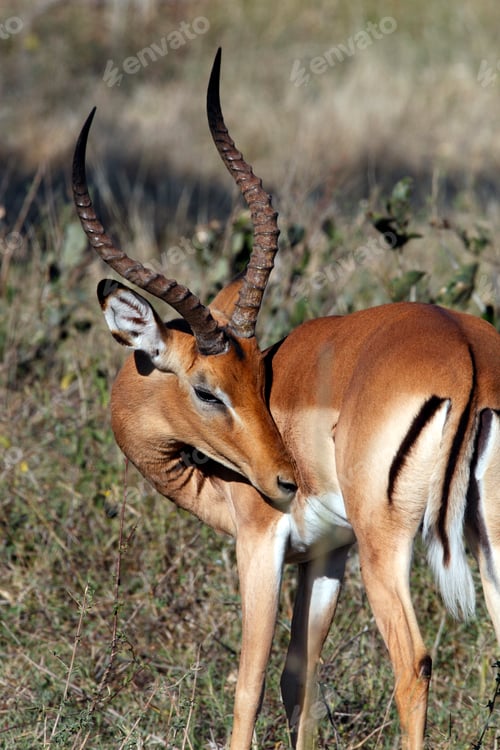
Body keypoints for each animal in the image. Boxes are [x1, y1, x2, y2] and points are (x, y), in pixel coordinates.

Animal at [72, 49, 500, 749]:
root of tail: (468, 354)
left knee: (412, 662)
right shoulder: (324, 557)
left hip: (387, 545)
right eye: (214, 387)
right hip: (483, 533)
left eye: (252, 383)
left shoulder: (262, 542)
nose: (285, 482)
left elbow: (248, 685)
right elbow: (299, 682)